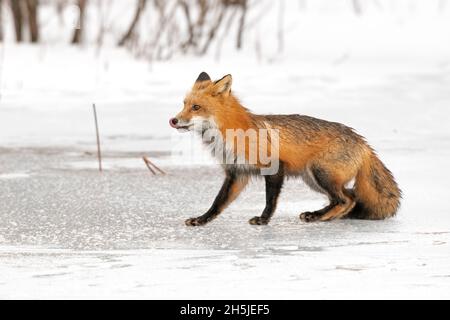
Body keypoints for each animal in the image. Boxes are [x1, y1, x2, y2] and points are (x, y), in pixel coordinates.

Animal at [169, 73, 400, 226]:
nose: (173, 120)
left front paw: (263, 219)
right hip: (313, 180)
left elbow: (270, 200)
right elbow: (218, 202)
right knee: (349, 198)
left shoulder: (274, 167)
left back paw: (318, 216)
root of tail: (362, 141)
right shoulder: (237, 173)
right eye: (183, 104)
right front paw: (202, 219)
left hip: (320, 174)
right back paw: (326, 215)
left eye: (196, 107)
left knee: (346, 199)